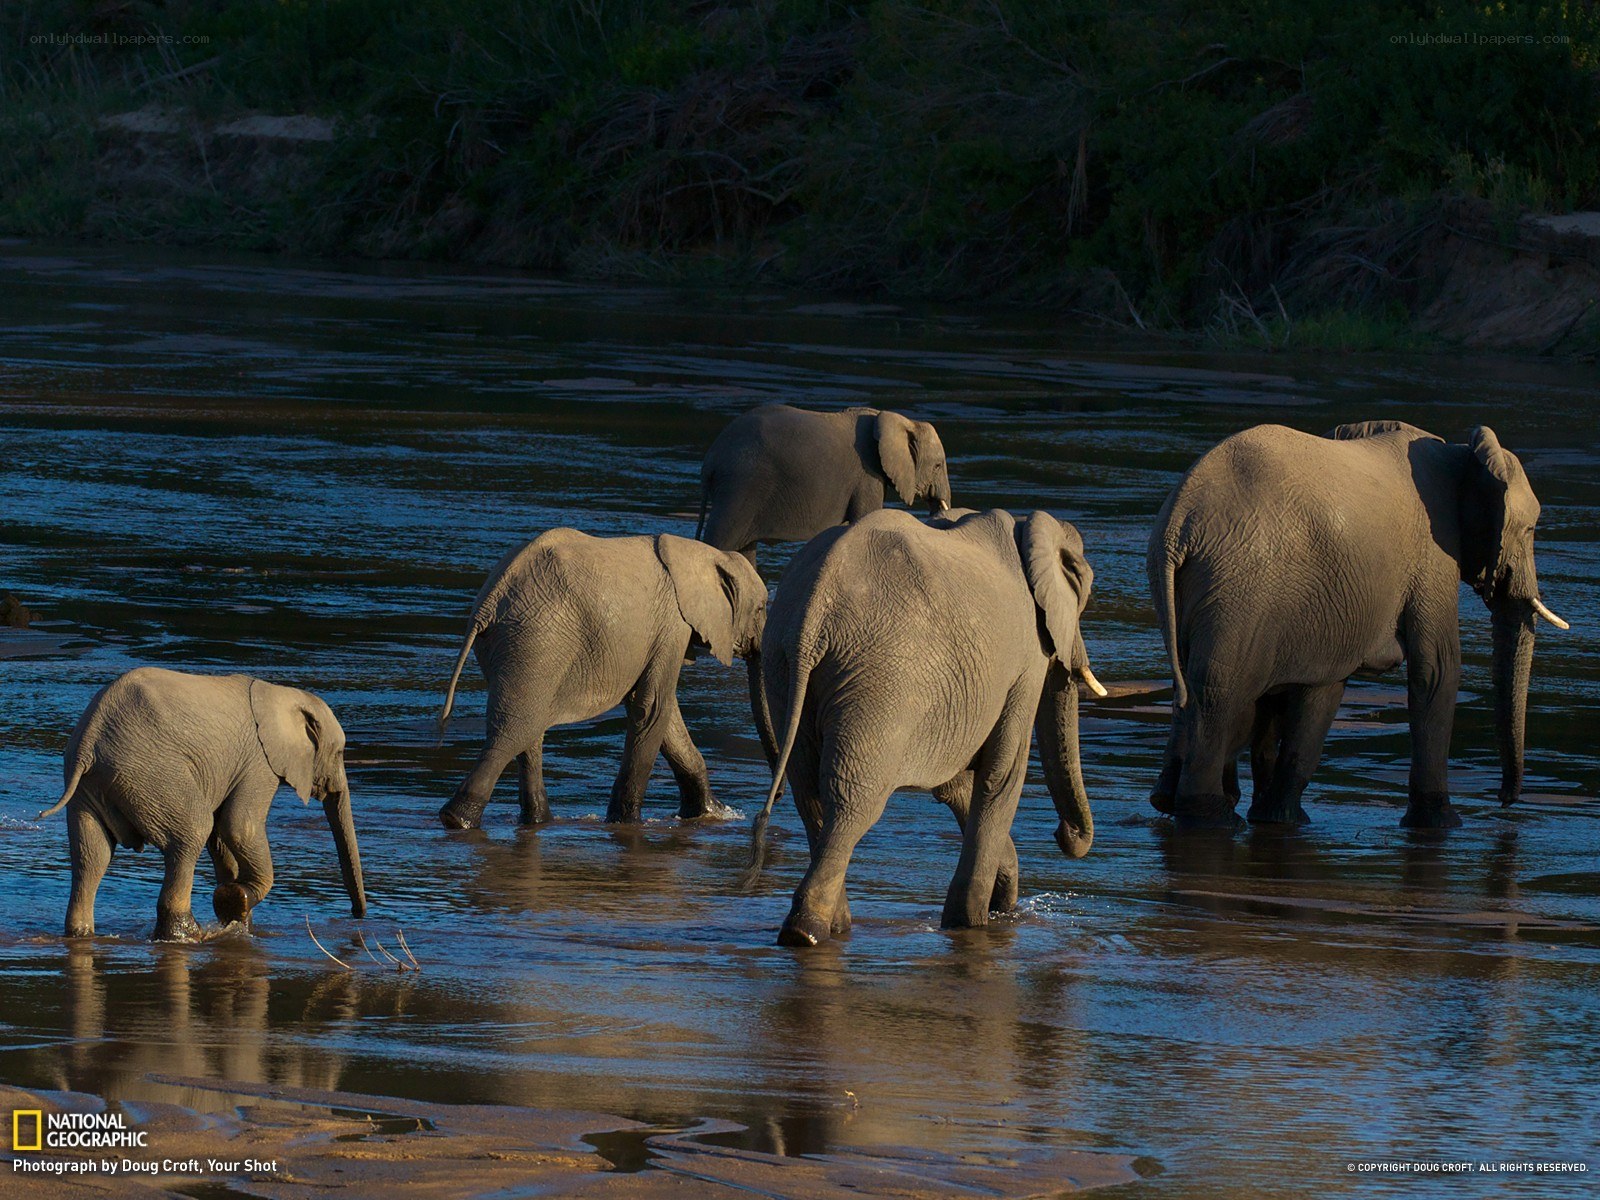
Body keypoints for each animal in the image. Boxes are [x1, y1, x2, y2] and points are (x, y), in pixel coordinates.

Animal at [39, 667, 367, 941]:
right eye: (340, 752)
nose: (357, 916)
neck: (282, 694)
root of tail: (89, 740)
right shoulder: (259, 762)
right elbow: (239, 826)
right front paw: (235, 901)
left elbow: (221, 837)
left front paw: (236, 918)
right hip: (150, 773)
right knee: (193, 830)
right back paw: (187, 935)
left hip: (89, 787)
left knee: (92, 855)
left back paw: (81, 934)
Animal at [436, 528, 768, 830]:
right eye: (762, 608)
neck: (704, 554)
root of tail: (490, 599)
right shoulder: (673, 625)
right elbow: (653, 708)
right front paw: (627, 822)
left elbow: (661, 712)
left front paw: (710, 813)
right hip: (537, 640)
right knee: (516, 729)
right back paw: (458, 820)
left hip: (519, 645)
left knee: (528, 727)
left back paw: (537, 821)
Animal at [747, 507, 1107, 947]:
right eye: (1083, 596)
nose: (1062, 835)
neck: (1026, 531)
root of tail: (815, 608)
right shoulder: (1026, 661)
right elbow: (1001, 775)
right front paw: (970, 923)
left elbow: (957, 784)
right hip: (881, 680)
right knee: (852, 800)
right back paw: (806, 932)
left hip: (783, 669)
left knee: (809, 792)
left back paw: (834, 926)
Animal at [1147, 420, 1568, 832]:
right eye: (1530, 531)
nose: (1505, 800)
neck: (1461, 454)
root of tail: (1179, 522)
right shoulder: (1433, 555)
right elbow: (1437, 672)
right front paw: (1442, 825)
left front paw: (1275, 818)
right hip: (1239, 591)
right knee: (1221, 692)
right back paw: (1212, 818)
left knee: (1195, 685)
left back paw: (1172, 802)